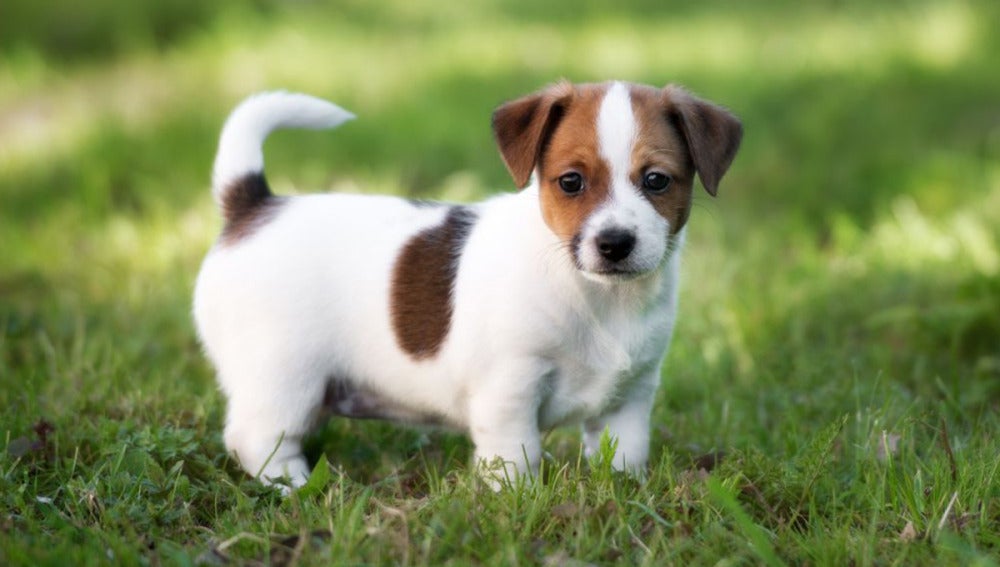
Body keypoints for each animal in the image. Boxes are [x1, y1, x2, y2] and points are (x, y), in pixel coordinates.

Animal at [195, 80, 744, 488]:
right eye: (571, 182)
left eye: (657, 180)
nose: (615, 243)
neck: (597, 298)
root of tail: (254, 205)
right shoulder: (510, 388)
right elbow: (517, 458)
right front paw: (516, 504)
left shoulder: (630, 398)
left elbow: (625, 456)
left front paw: (624, 494)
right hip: (284, 377)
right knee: (255, 438)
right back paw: (293, 484)